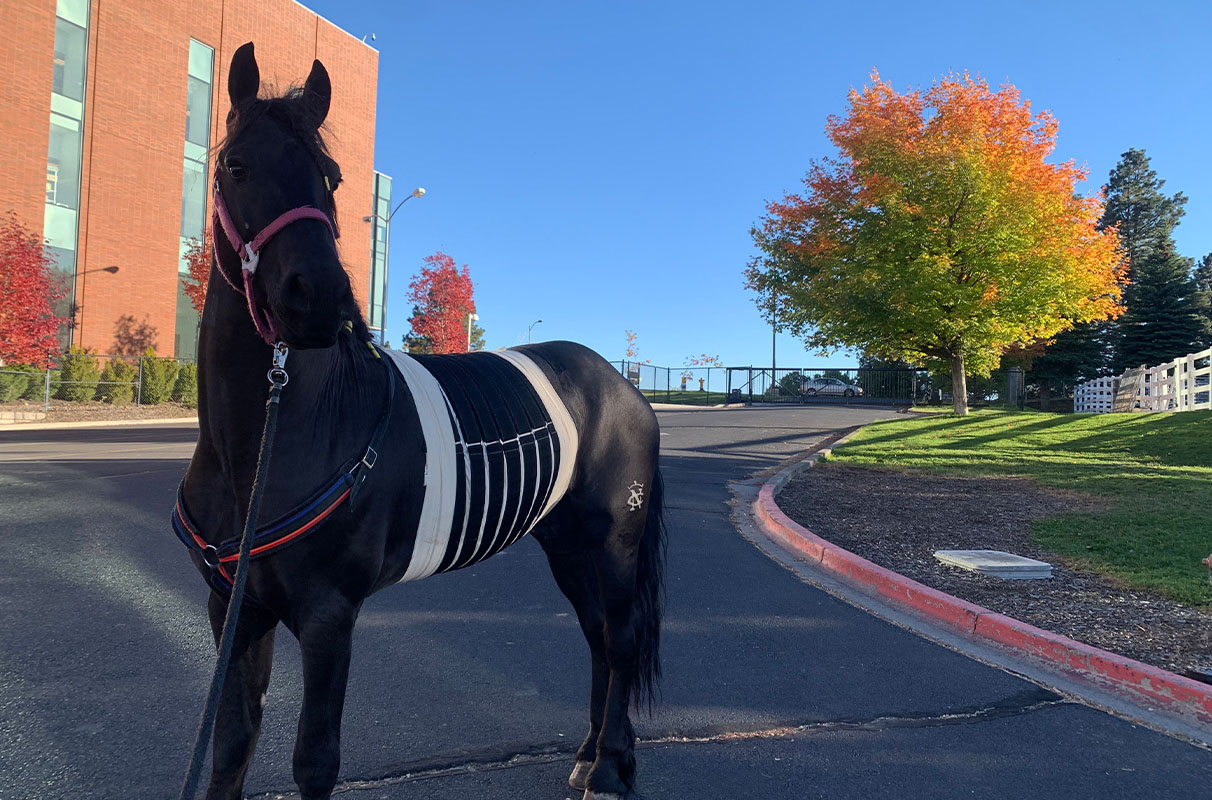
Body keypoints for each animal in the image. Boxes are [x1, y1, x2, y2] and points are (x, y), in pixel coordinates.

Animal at [176, 42, 665, 800]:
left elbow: (314, 761)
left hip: (614, 543)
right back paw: (591, 753)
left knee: (621, 637)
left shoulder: (328, 615)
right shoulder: (235, 608)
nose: (317, 298)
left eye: (331, 176)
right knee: (597, 637)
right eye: (234, 166)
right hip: (564, 541)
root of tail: (623, 384)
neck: (258, 452)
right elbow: (232, 745)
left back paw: (611, 766)